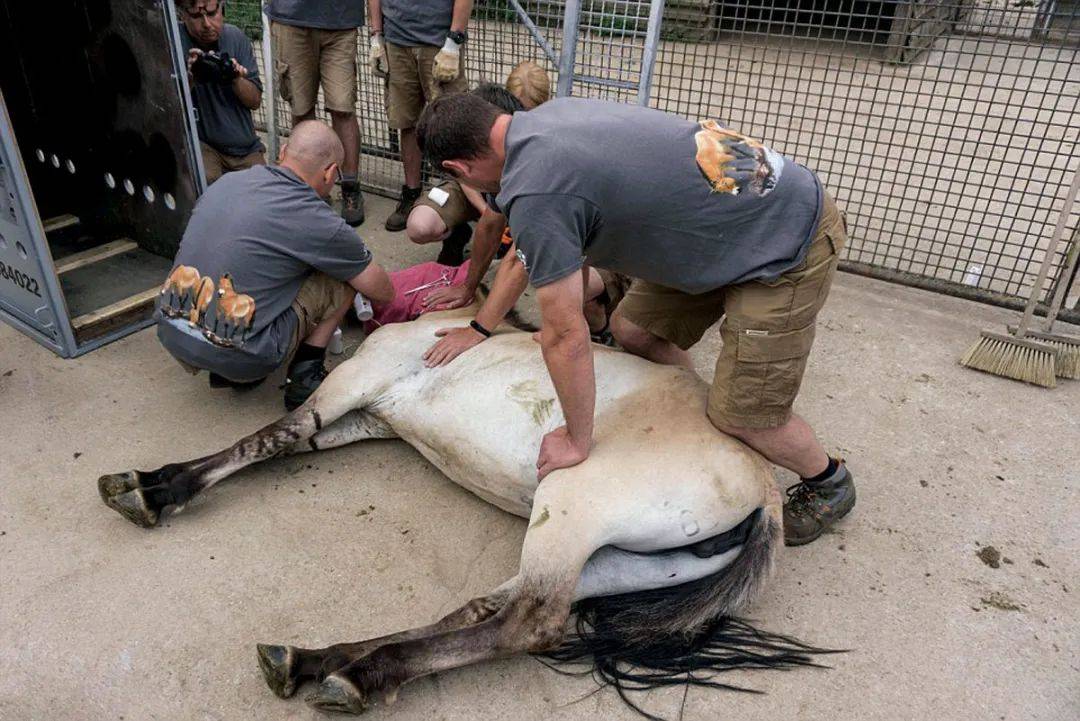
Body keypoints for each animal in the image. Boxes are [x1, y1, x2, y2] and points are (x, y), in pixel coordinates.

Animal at [97, 304, 833, 716]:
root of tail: (765, 494)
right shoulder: (367, 419)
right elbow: (288, 440)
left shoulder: (354, 387)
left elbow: (270, 437)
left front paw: (152, 488)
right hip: (623, 561)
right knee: (488, 610)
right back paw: (322, 662)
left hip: (571, 511)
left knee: (529, 622)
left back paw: (355, 675)